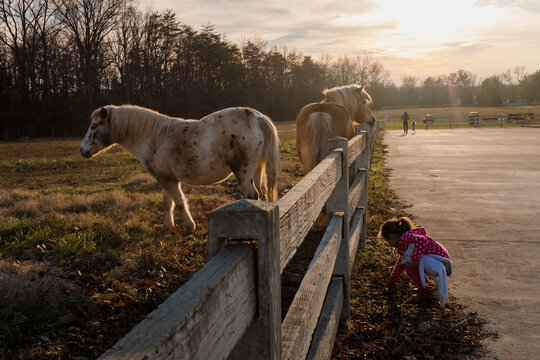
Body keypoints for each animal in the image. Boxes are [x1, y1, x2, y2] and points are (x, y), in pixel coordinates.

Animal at [83, 105, 282, 232]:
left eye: (93, 126)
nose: (82, 150)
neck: (154, 137)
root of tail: (257, 117)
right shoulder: (165, 179)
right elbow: (168, 203)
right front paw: (166, 226)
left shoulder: (168, 180)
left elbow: (179, 203)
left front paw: (189, 225)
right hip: (257, 170)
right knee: (262, 194)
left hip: (243, 172)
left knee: (252, 195)